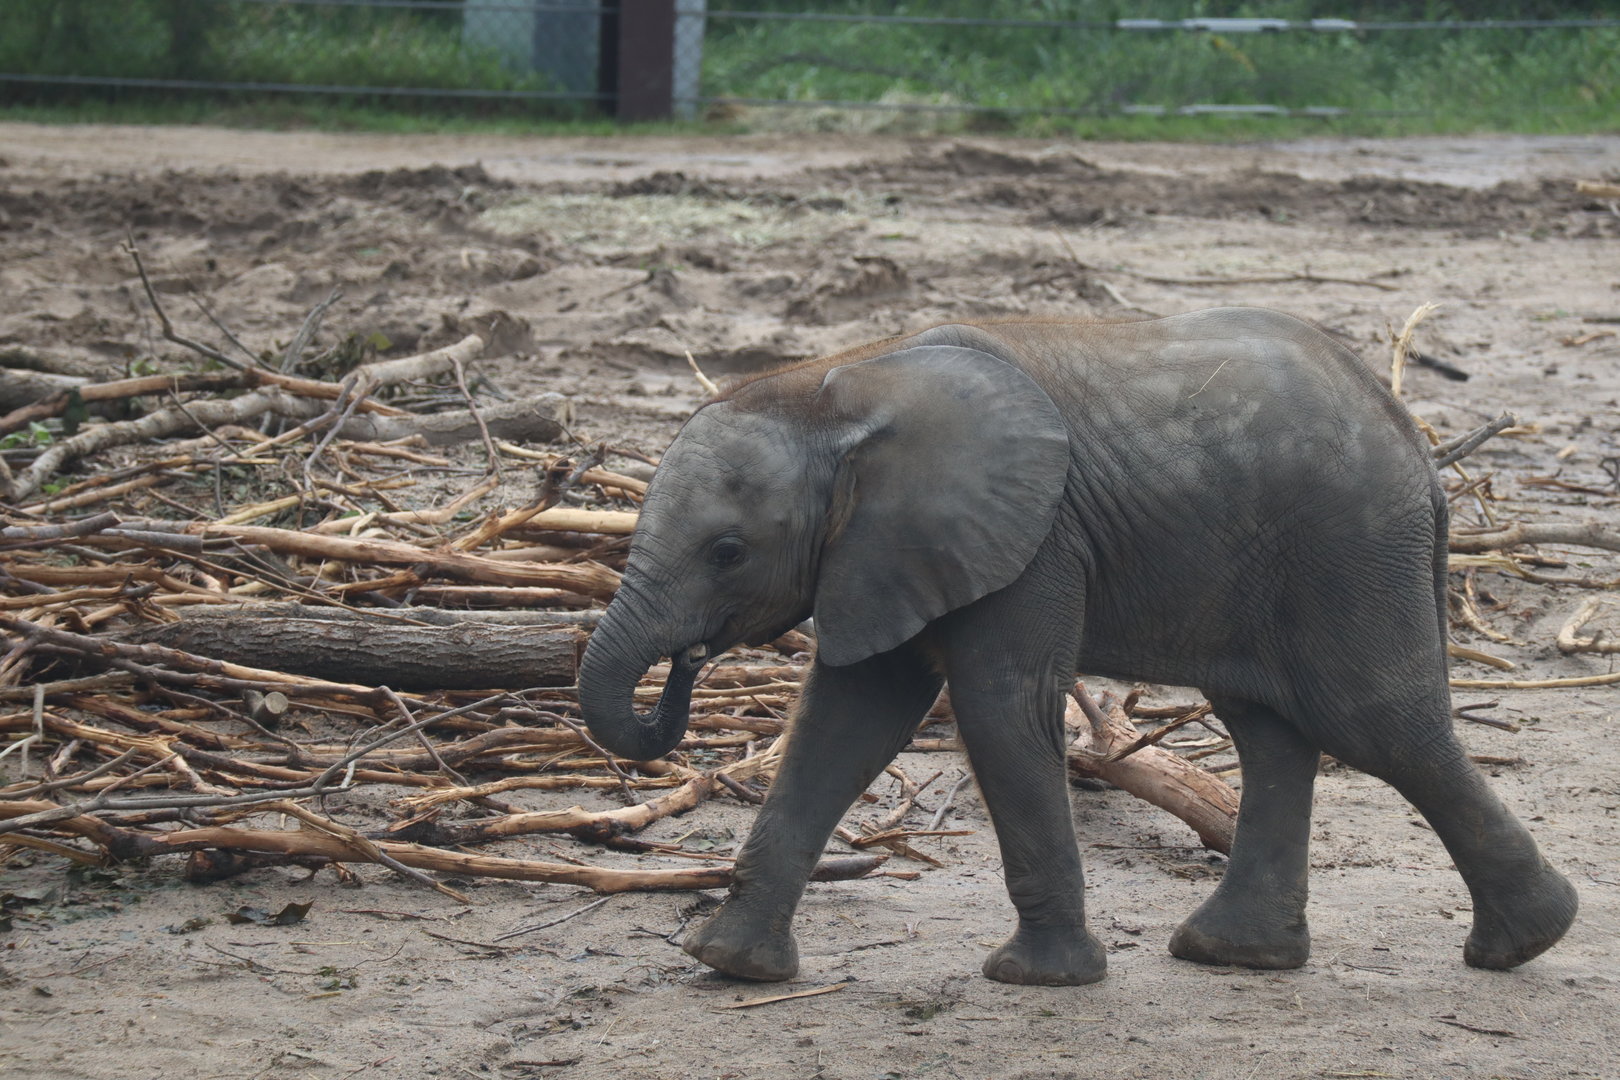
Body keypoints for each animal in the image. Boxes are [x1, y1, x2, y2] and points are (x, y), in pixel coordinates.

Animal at [577, 307, 1577, 986]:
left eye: (727, 552)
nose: (687, 664)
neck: (840, 383)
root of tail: (1417, 440)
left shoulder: (1031, 539)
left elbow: (997, 706)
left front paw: (1036, 980)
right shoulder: (890, 548)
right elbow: (847, 719)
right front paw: (729, 966)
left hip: (1347, 547)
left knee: (1376, 723)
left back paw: (1529, 941)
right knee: (1273, 731)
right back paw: (1231, 955)